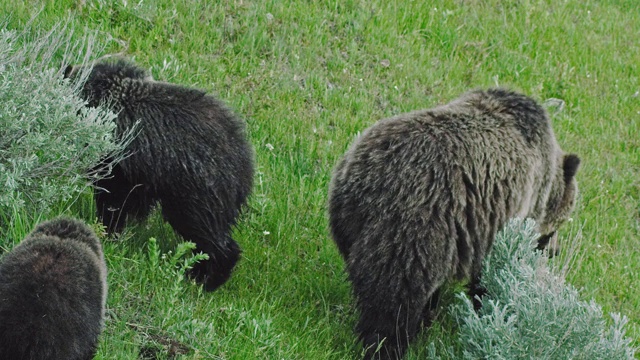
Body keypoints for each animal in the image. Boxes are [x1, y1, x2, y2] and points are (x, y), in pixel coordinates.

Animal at [65, 58, 254, 290]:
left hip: (195, 194)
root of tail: (244, 168)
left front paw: (107, 232)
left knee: (209, 236)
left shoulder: (116, 163)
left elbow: (112, 199)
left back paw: (202, 279)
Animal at [330, 88, 580, 358]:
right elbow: (490, 272)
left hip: (348, 218)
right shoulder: (500, 217)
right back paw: (387, 345)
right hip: (415, 224)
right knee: (394, 297)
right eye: (554, 230)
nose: (555, 250)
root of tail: (372, 178)